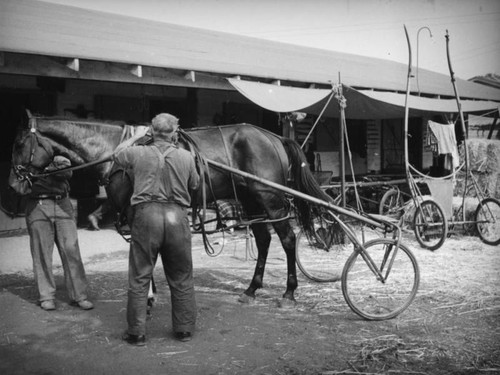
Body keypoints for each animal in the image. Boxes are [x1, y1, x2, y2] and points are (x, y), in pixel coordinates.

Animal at [8, 114, 332, 306]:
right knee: (264, 241)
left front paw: (148, 294)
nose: (13, 183)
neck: (117, 152)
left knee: (287, 240)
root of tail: (274, 137)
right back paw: (252, 289)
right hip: (253, 201)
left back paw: (289, 292)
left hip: (271, 200)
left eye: (20, 142)